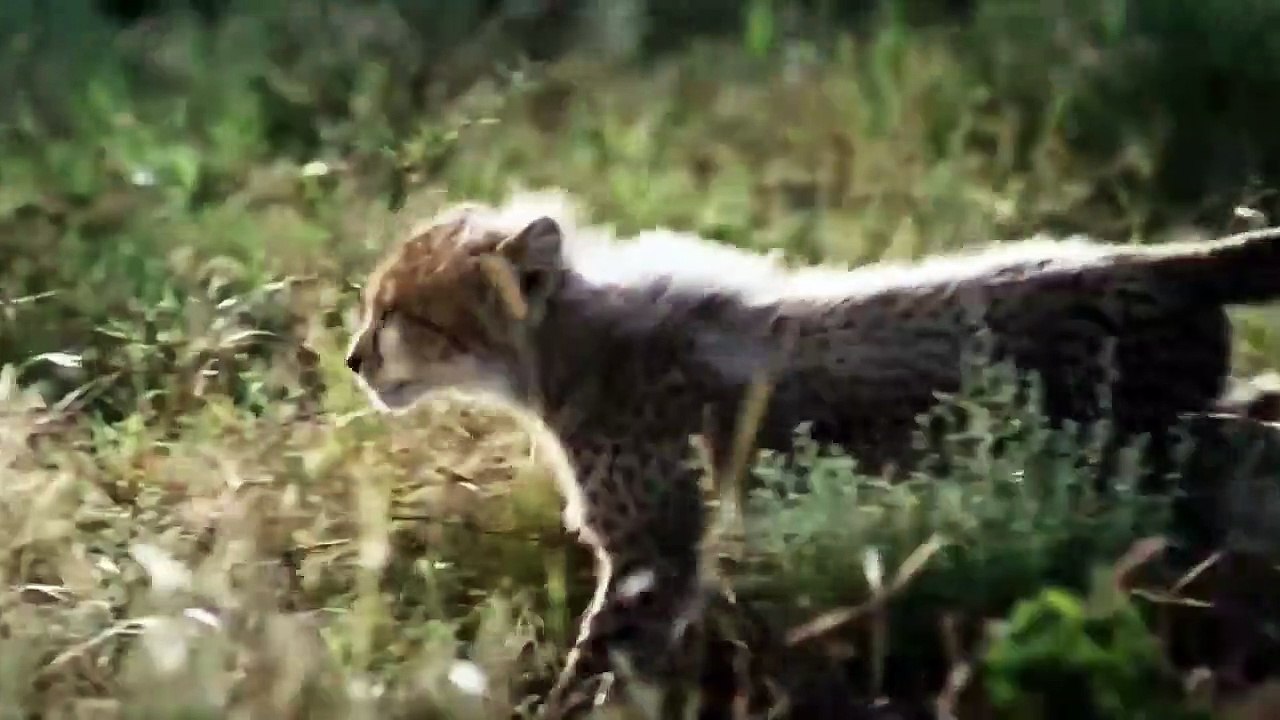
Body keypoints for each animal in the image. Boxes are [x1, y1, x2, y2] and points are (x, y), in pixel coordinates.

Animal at [343, 189, 1280, 718]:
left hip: (1146, 452)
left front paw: (561, 706)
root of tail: (1147, 258)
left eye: (400, 314)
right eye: (375, 307)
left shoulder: (655, 553)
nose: (353, 360)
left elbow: (603, 653)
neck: (561, 347)